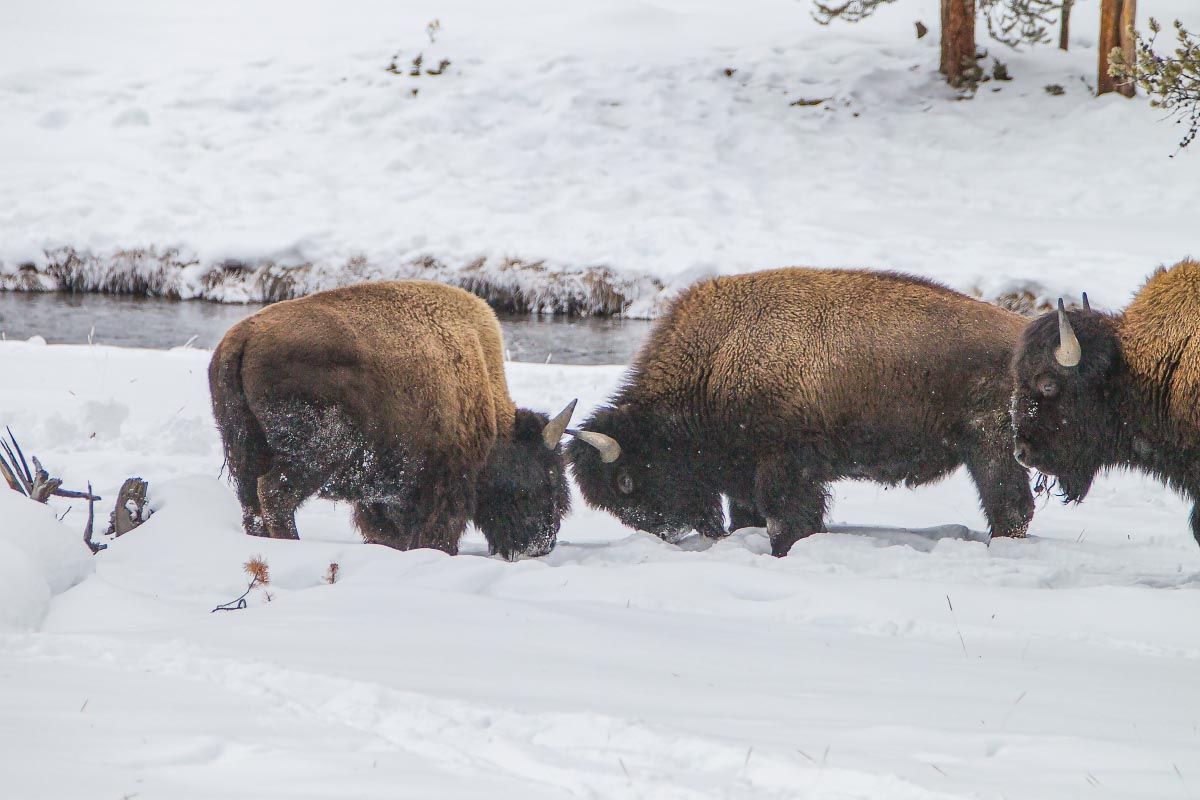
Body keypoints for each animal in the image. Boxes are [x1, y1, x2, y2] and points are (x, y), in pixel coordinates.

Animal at [208, 284, 573, 561]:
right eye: (547, 476)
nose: (543, 544)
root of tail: (243, 337)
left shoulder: (381, 497)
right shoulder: (444, 489)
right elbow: (437, 534)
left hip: (243, 451)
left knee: (252, 501)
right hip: (313, 456)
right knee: (274, 494)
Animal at [566, 268, 1036, 556]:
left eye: (626, 481)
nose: (665, 533)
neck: (716, 359)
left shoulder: (784, 466)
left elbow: (787, 519)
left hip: (989, 447)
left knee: (1008, 507)